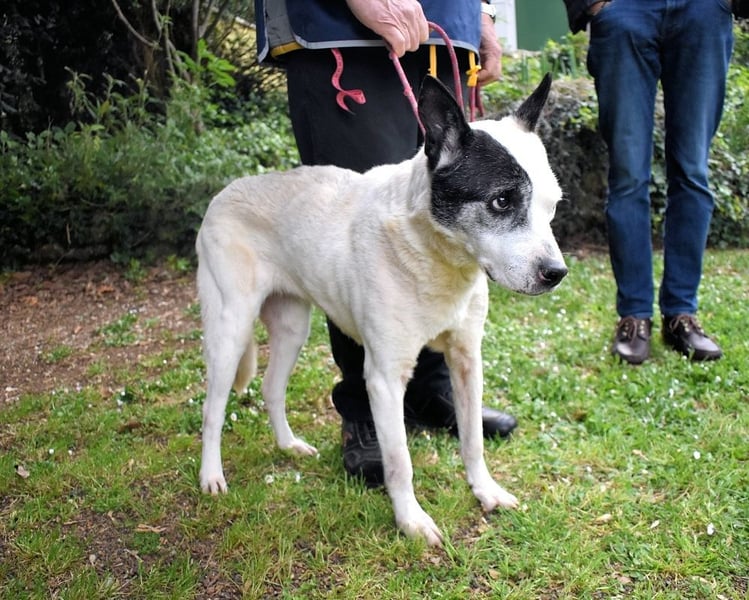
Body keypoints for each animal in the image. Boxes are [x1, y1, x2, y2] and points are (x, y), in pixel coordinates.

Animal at [195, 74, 567, 546]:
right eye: (502, 201)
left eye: (553, 205)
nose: (556, 273)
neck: (434, 257)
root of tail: (225, 192)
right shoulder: (384, 377)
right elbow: (399, 460)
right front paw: (411, 521)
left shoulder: (467, 359)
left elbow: (472, 439)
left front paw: (485, 490)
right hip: (231, 328)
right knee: (213, 409)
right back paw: (211, 476)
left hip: (292, 327)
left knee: (271, 388)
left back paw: (288, 446)